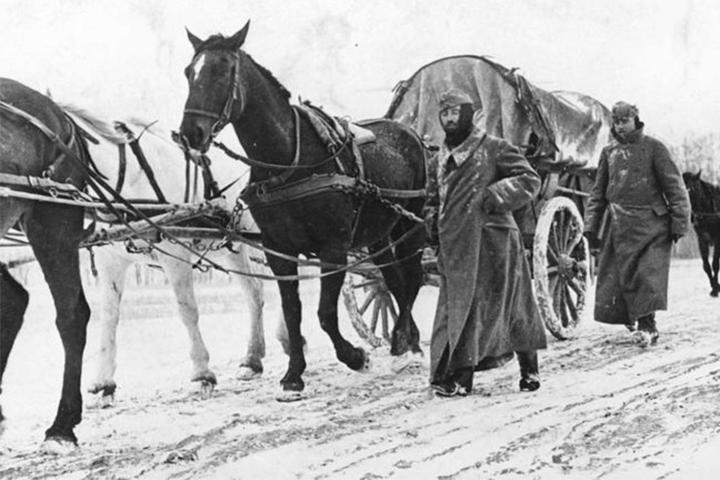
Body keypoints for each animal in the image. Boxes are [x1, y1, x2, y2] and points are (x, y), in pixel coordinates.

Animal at [61, 107, 279, 406]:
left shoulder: (175, 254)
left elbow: (187, 310)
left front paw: (202, 374)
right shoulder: (111, 262)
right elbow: (109, 316)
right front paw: (104, 382)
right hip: (229, 246)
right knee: (255, 292)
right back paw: (253, 359)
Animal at [178, 22, 426, 401]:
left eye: (222, 70)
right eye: (189, 72)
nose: (190, 133)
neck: (289, 161)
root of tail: (407, 130)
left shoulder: (333, 248)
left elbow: (324, 313)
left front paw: (355, 356)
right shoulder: (279, 250)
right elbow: (293, 312)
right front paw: (294, 374)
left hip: (409, 223)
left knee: (412, 277)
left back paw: (403, 345)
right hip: (379, 234)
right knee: (394, 281)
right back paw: (406, 344)